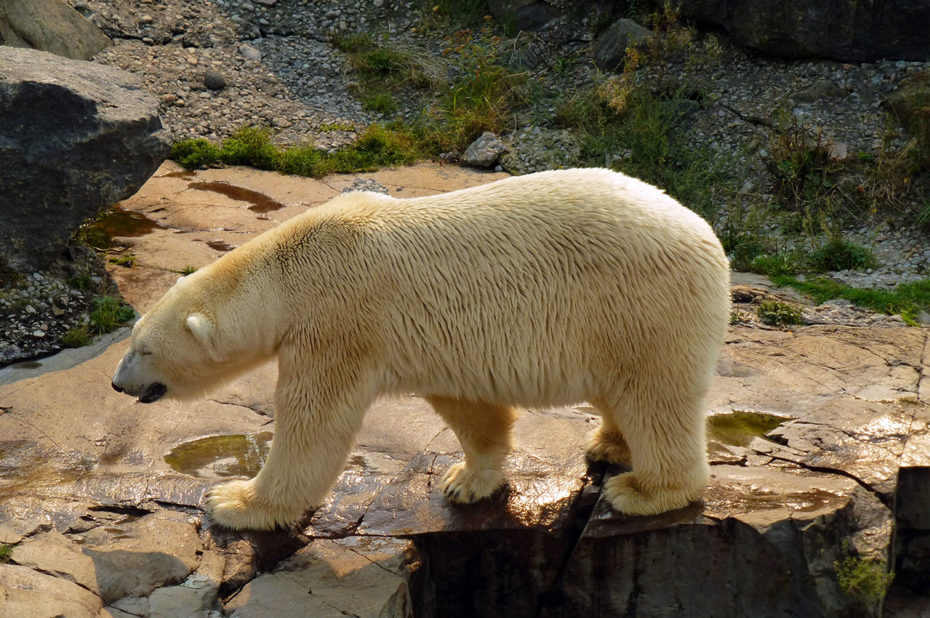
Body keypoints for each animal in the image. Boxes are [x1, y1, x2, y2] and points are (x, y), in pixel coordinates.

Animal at [112, 168, 728, 528]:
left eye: (143, 349)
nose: (118, 383)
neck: (288, 272)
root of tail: (705, 234)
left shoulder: (336, 323)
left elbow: (313, 426)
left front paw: (232, 502)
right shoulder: (435, 342)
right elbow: (469, 409)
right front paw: (466, 480)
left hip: (637, 304)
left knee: (656, 395)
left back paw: (642, 489)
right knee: (620, 390)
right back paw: (608, 443)